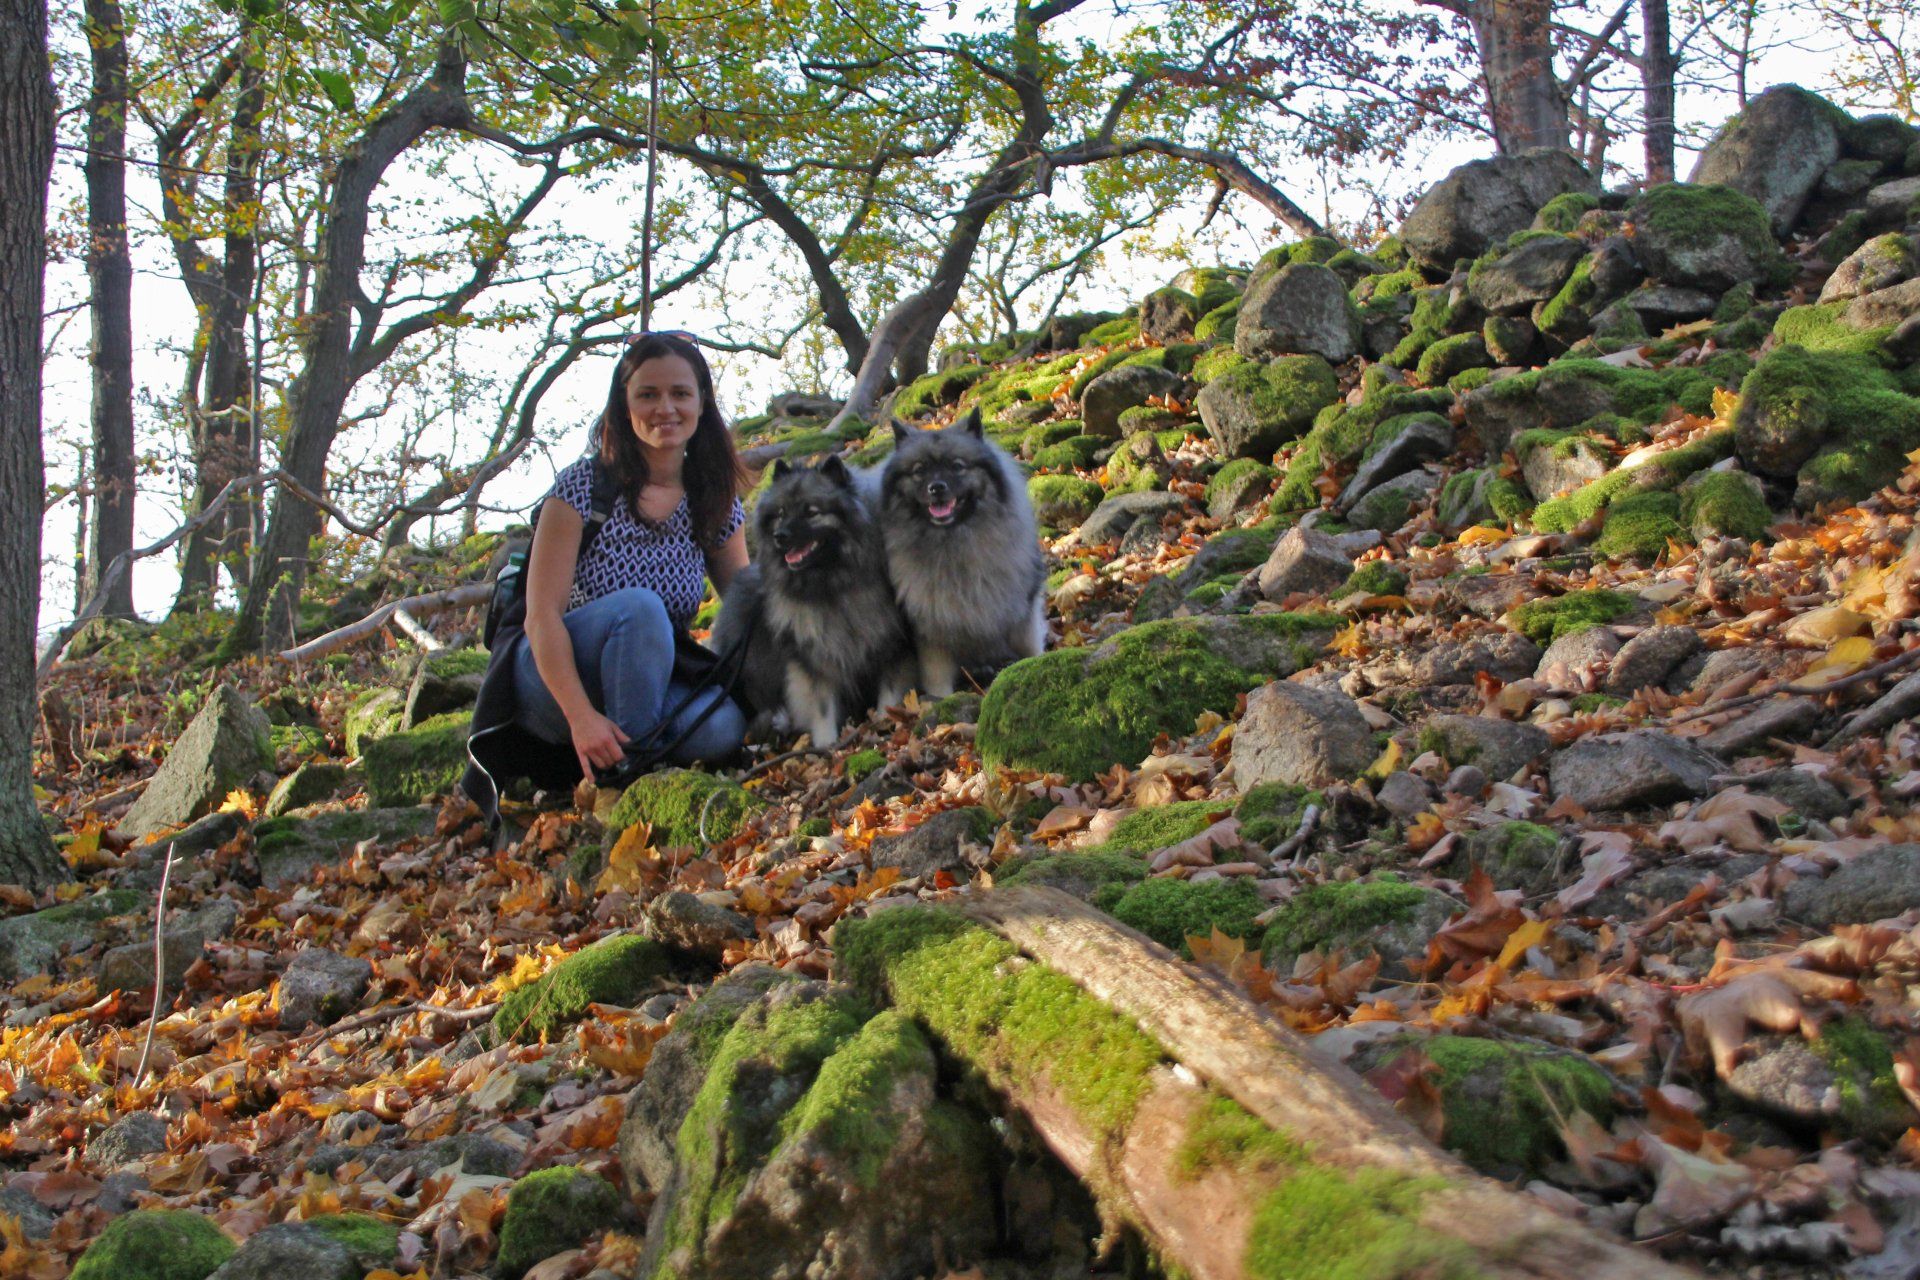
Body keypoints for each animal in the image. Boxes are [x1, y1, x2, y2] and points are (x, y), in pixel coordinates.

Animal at [712, 455, 915, 747]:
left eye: (811, 512)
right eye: (781, 513)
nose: (780, 536)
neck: (833, 586)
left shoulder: (892, 644)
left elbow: (889, 692)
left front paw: (885, 722)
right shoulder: (811, 659)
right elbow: (821, 706)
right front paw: (826, 744)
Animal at [877, 408, 1047, 696]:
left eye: (957, 466)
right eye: (919, 471)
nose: (937, 487)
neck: (953, 542)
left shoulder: (1021, 609)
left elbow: (1029, 649)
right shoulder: (930, 630)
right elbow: (936, 679)